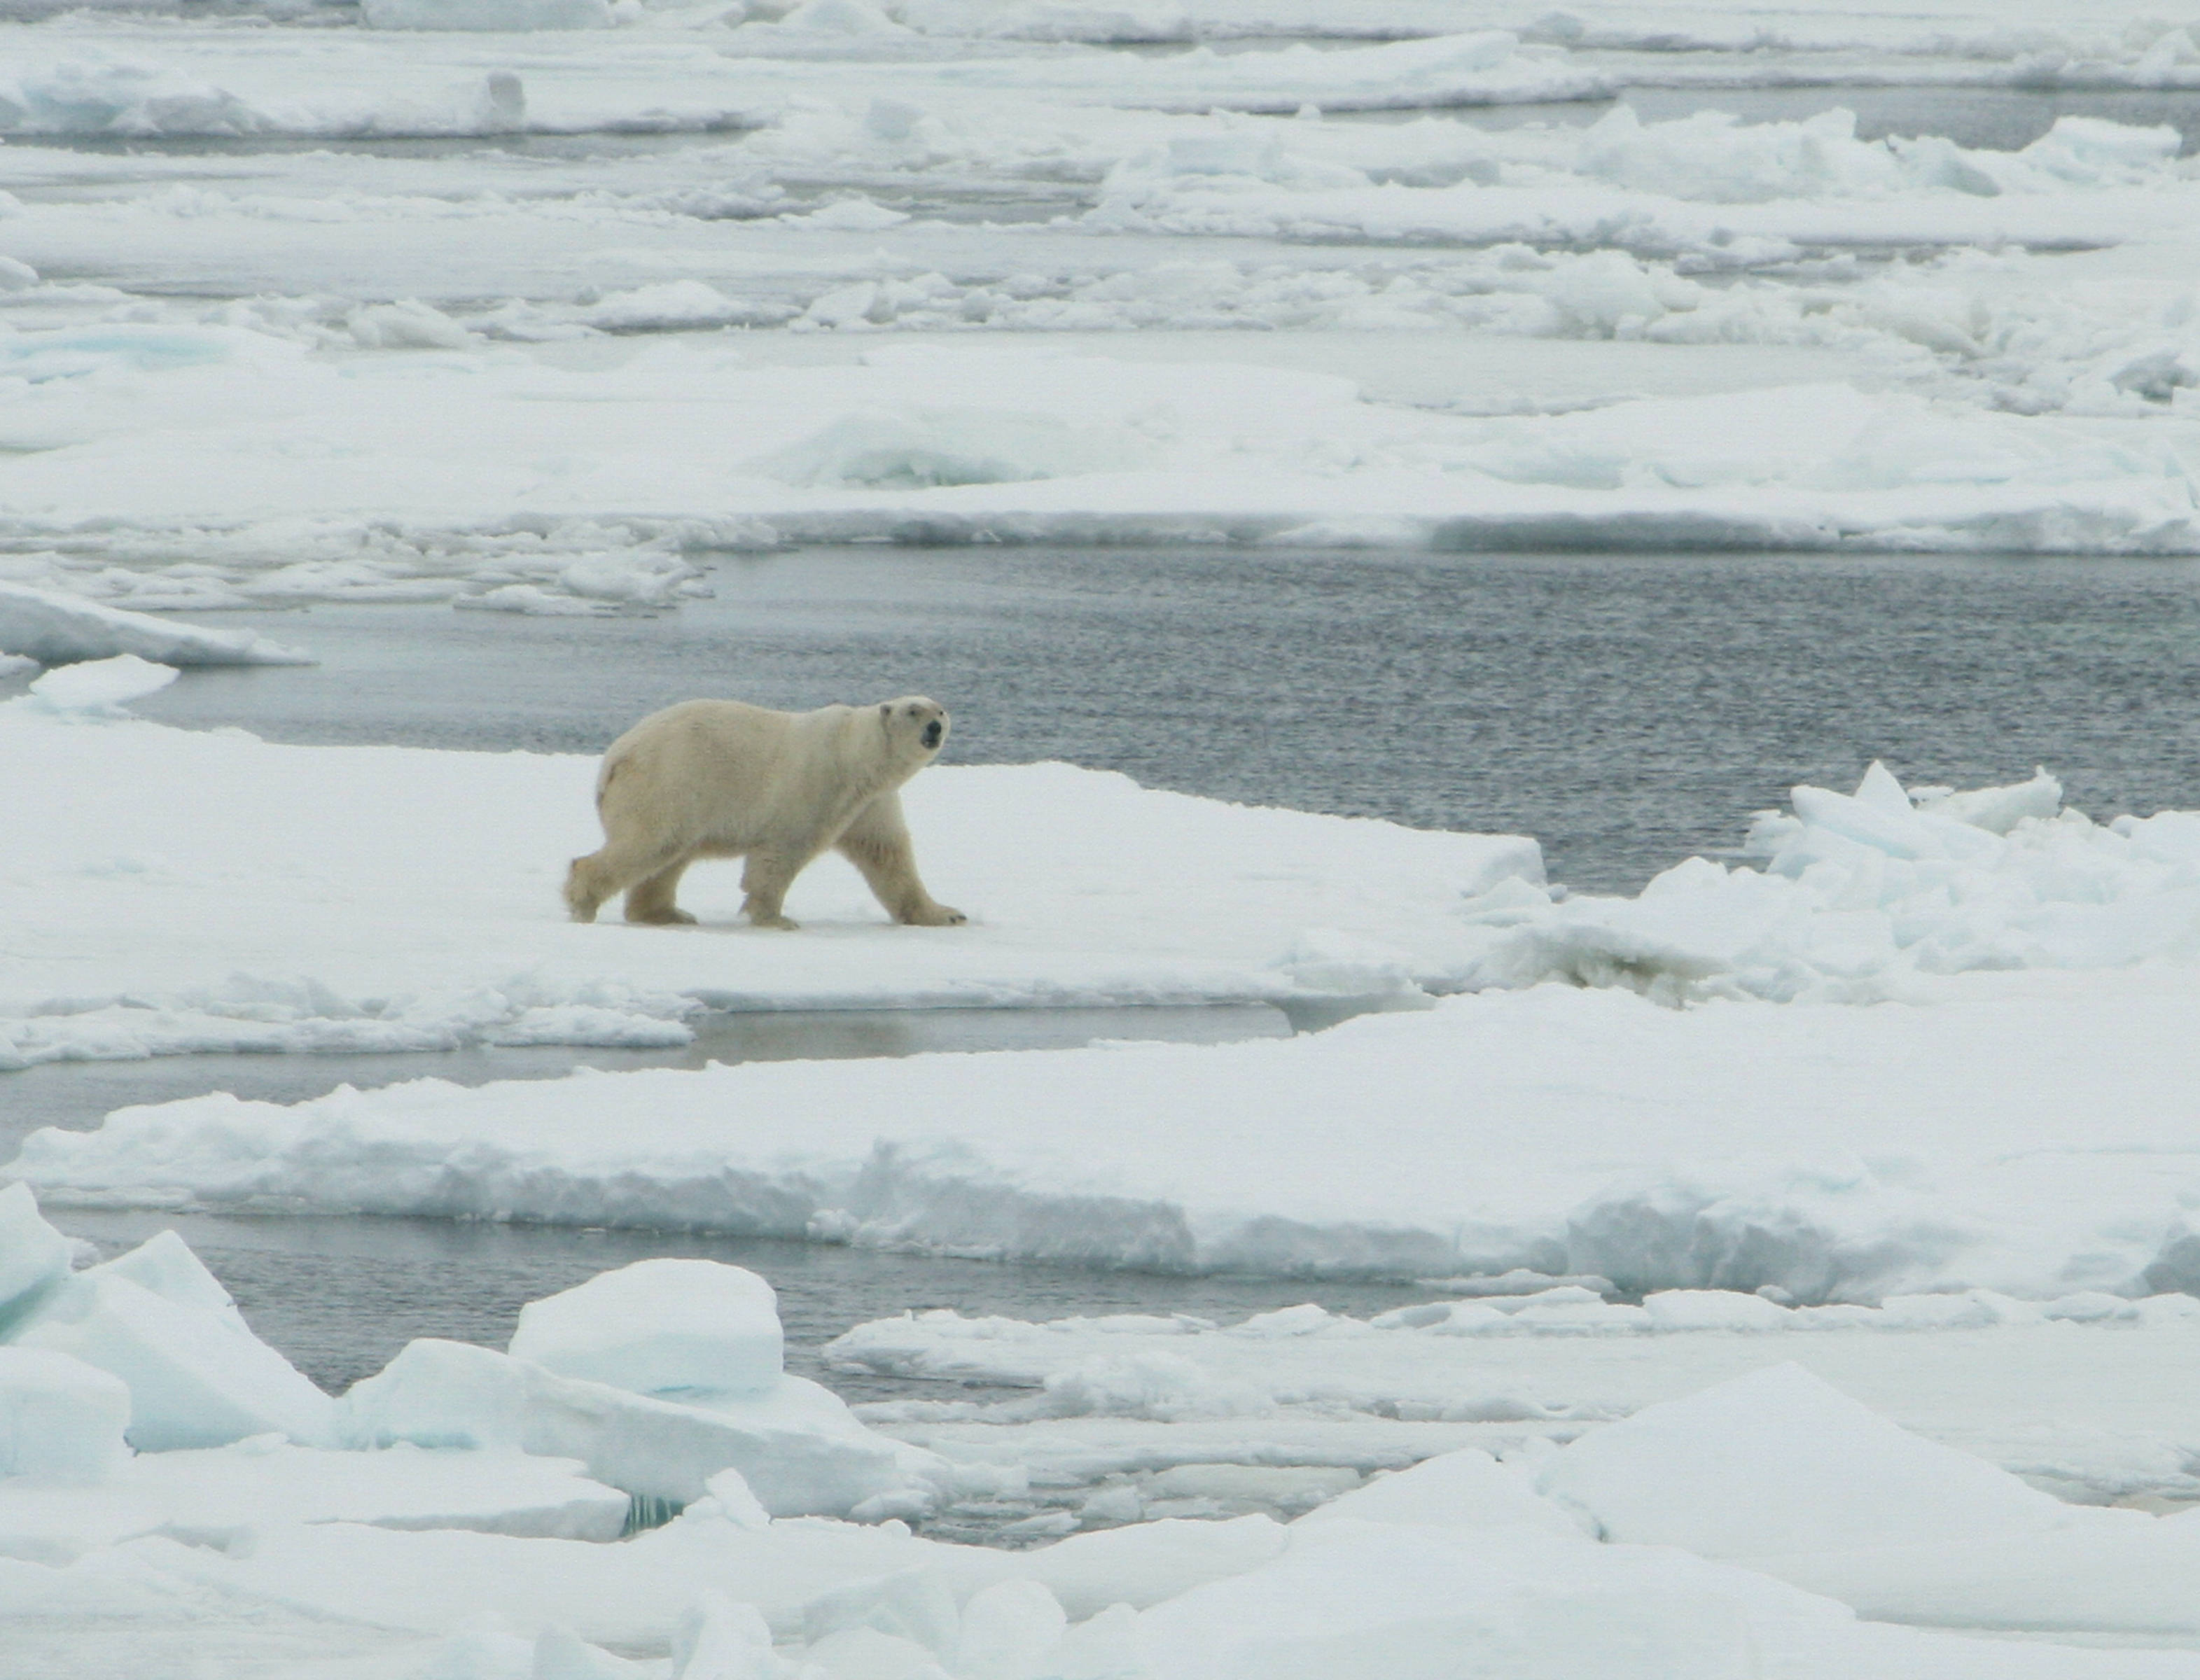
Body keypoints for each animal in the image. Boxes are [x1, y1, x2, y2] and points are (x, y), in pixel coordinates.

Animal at [564, 695, 966, 931]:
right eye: (912, 711)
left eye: (940, 710)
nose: (935, 727)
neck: (854, 756)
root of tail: (614, 758)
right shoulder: (815, 784)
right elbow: (780, 854)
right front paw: (777, 919)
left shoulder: (872, 803)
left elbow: (888, 855)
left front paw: (946, 914)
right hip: (668, 783)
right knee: (650, 843)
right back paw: (583, 903)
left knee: (669, 856)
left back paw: (666, 914)